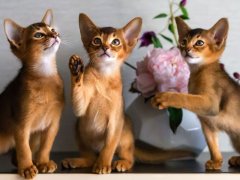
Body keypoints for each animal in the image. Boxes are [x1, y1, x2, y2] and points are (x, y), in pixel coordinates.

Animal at [0, 9, 64, 178]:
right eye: (39, 35)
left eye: (52, 29)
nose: (56, 35)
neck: (45, 76)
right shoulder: (21, 125)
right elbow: (24, 149)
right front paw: (27, 167)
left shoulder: (53, 123)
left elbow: (46, 146)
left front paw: (43, 162)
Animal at [62, 13, 193, 174]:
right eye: (97, 40)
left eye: (116, 42)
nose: (105, 47)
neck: (103, 76)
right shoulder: (80, 109)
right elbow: (78, 97)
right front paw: (76, 69)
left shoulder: (115, 121)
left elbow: (109, 146)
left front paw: (103, 164)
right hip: (78, 128)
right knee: (90, 158)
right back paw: (75, 161)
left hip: (124, 133)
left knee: (130, 158)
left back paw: (120, 163)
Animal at [152, 17, 240, 170]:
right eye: (183, 41)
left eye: (199, 43)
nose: (186, 49)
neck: (198, 72)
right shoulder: (206, 123)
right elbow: (212, 144)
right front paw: (216, 161)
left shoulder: (211, 104)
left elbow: (186, 98)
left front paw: (165, 97)